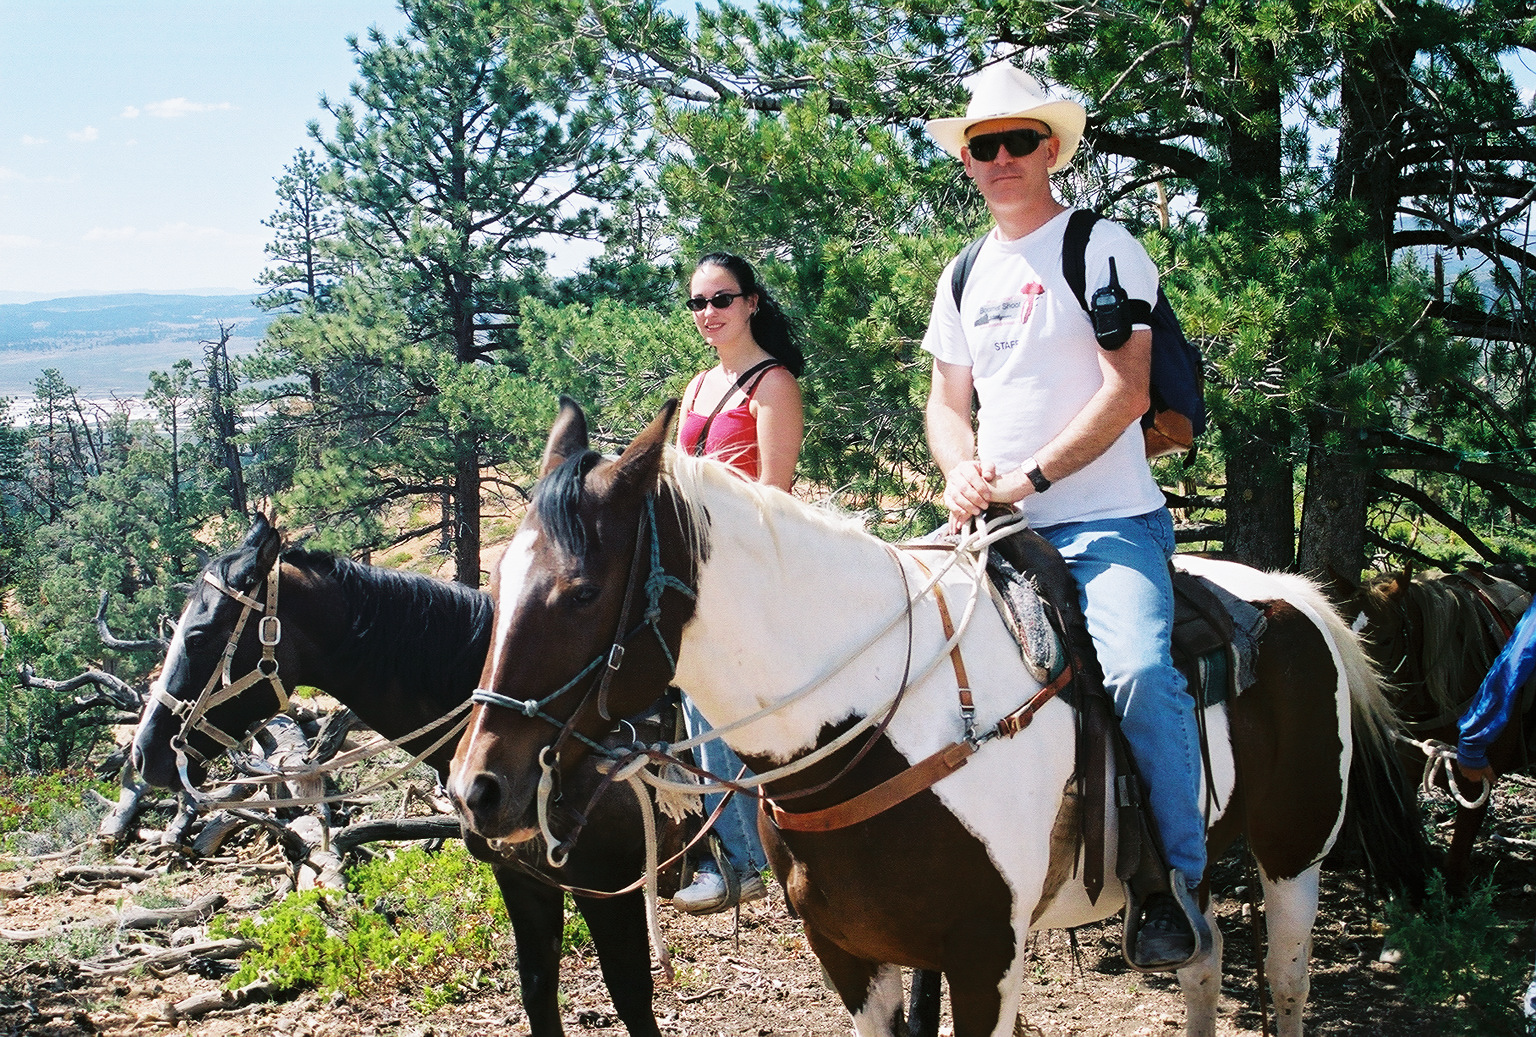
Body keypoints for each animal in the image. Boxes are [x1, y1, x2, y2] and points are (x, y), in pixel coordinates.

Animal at [129, 514, 691, 1037]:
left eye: (199, 635)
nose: (144, 754)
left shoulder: (608, 888)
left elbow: (631, 998)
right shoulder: (524, 881)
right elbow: (538, 992)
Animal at [448, 399, 1422, 1037]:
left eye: (581, 592)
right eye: (495, 580)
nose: (476, 789)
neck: (881, 723)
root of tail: (1296, 596)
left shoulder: (987, 957)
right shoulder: (852, 958)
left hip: (1293, 855)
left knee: (1285, 982)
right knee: (1206, 957)